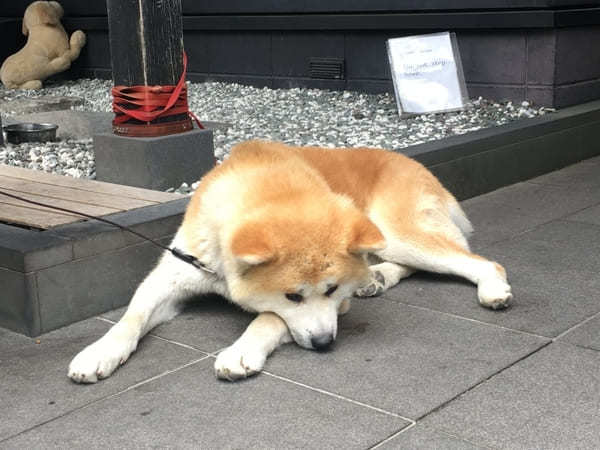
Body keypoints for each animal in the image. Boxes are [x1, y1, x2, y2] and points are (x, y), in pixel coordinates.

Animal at [69, 141, 510, 384]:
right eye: (293, 296)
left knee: (481, 262)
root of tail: (418, 165)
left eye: (331, 291)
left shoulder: (336, 307)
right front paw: (99, 352)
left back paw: (493, 289)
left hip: (398, 232)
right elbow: (130, 318)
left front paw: (241, 351)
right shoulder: (175, 273)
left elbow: (267, 318)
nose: (324, 343)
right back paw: (377, 277)